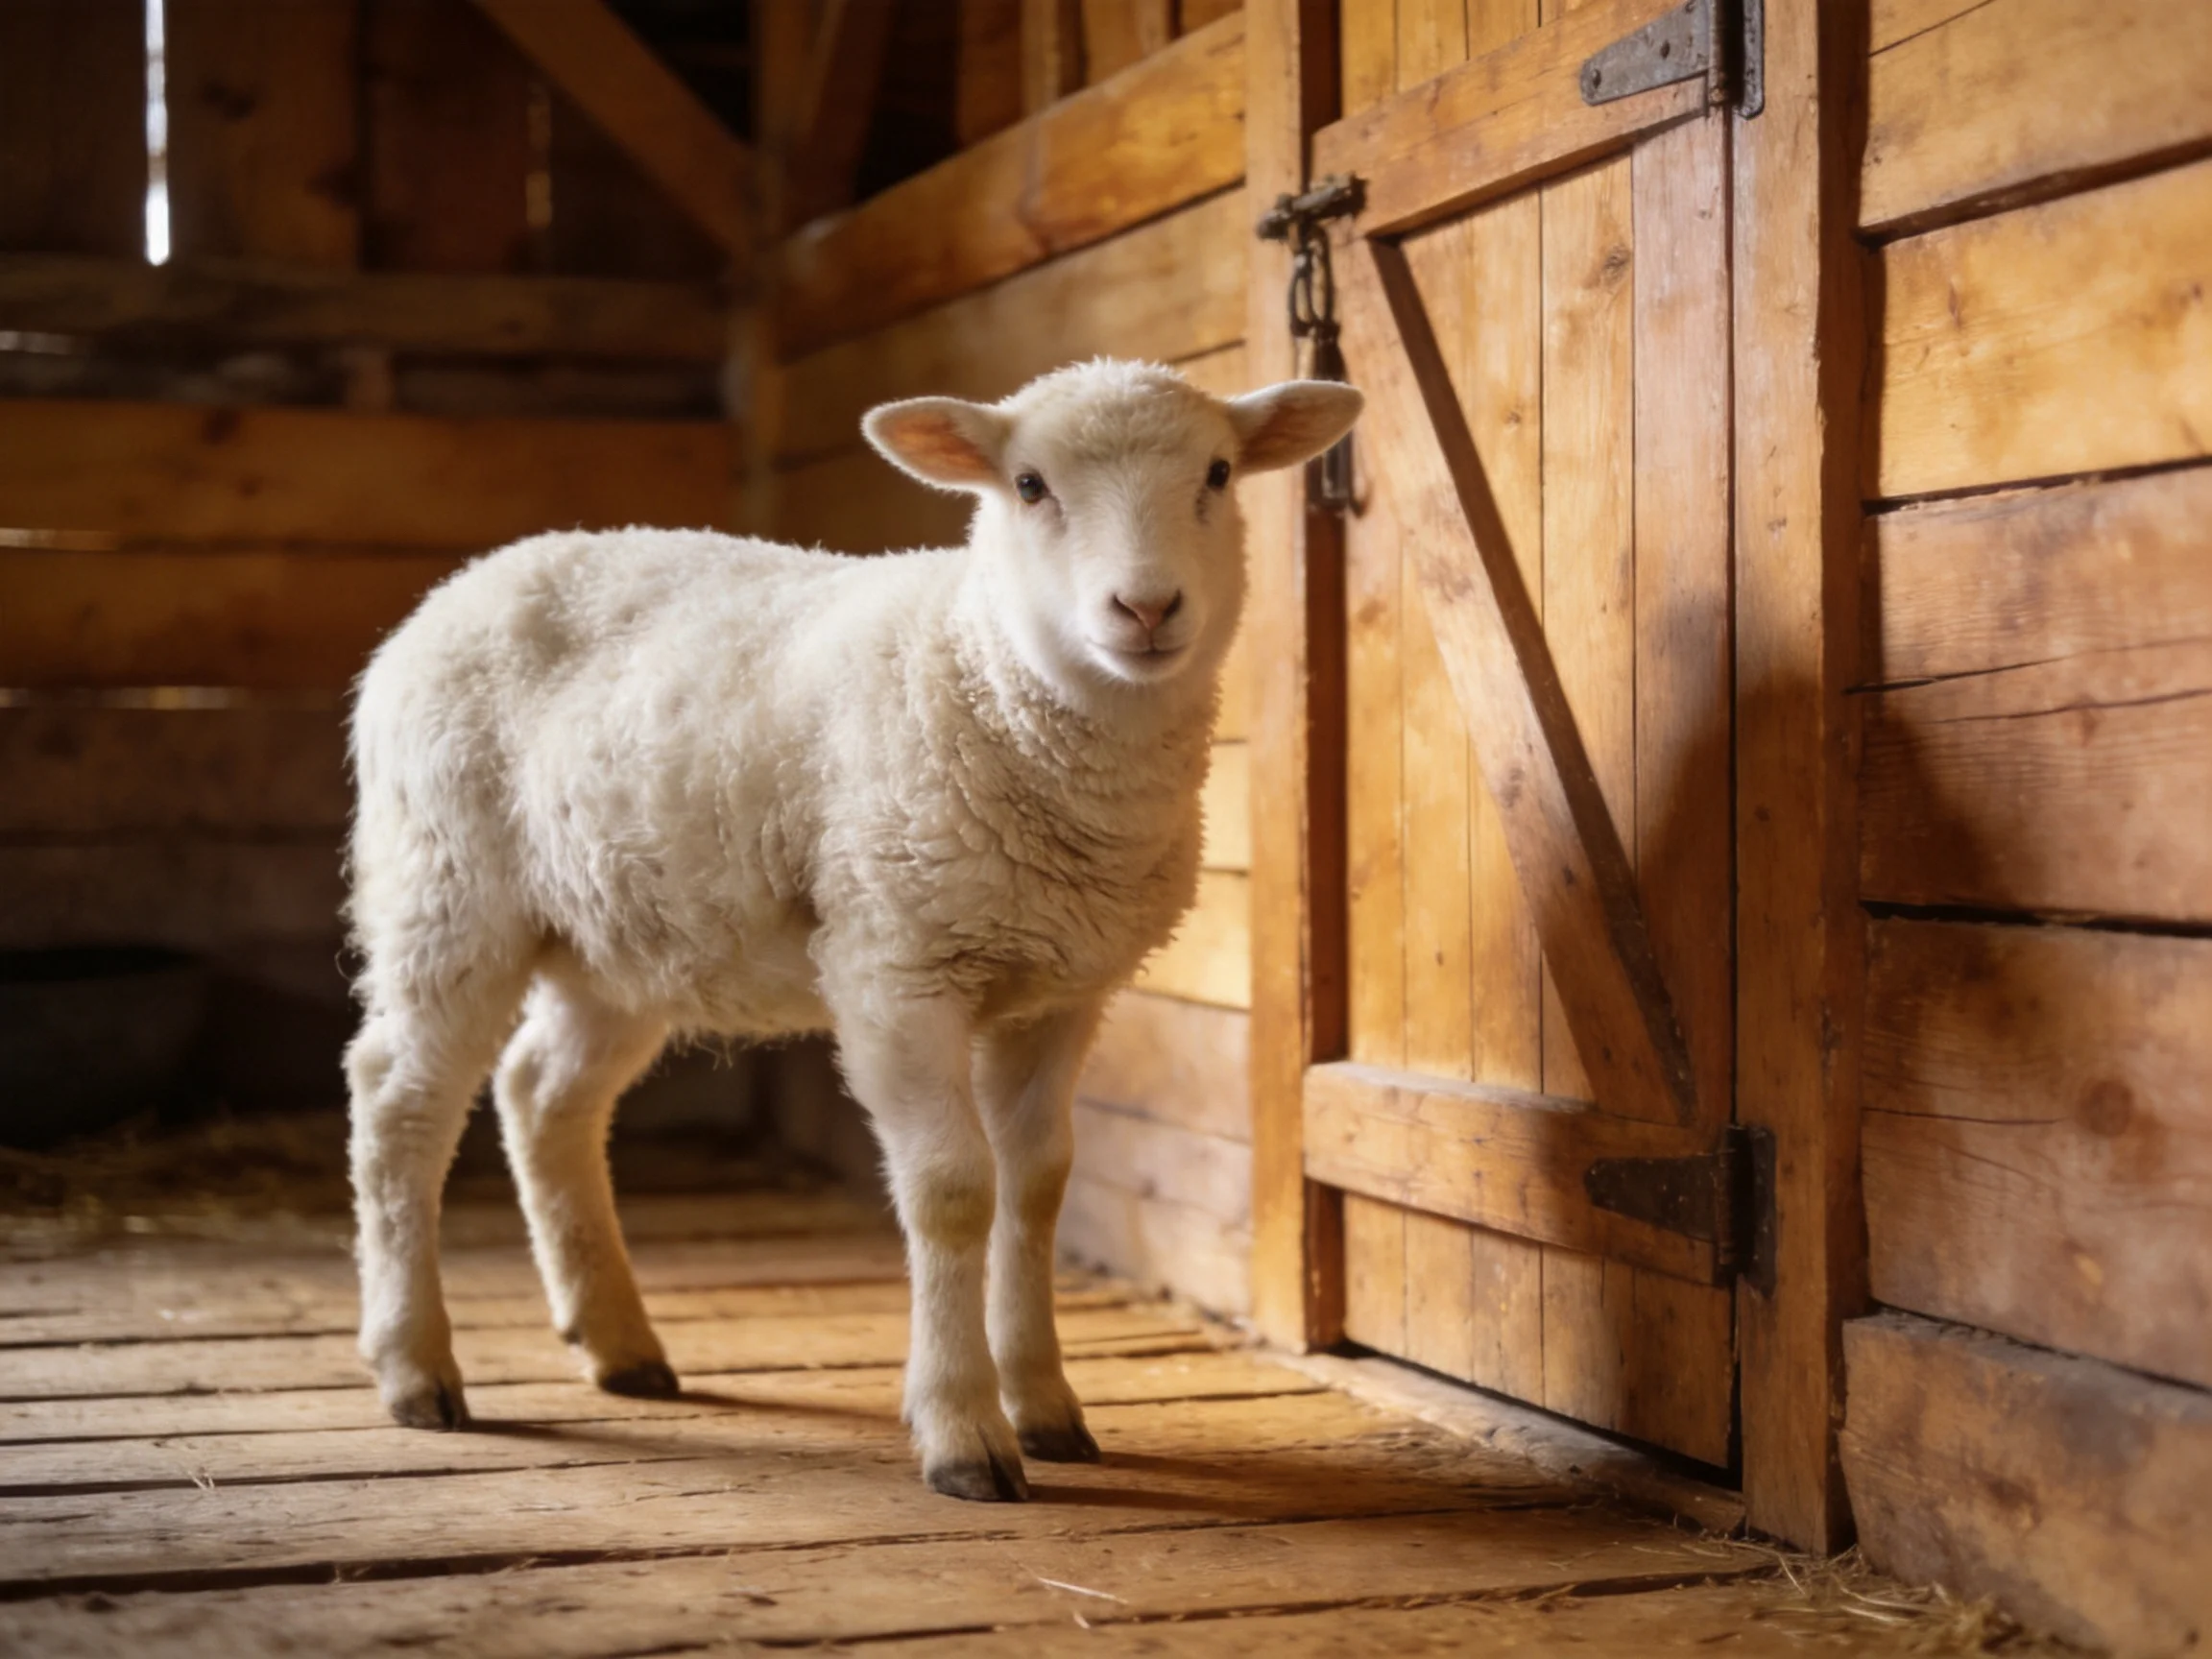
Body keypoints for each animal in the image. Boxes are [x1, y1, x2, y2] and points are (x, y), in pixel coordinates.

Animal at [344, 357, 1363, 1501]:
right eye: (1029, 485)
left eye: (1220, 473)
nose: (1145, 605)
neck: (986, 673)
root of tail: (464, 581)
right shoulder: (896, 966)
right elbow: (955, 1189)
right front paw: (964, 1431)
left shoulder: (1061, 990)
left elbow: (1039, 1185)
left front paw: (1046, 1405)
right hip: (447, 886)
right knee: (399, 1101)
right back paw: (415, 1367)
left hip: (620, 933)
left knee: (541, 1093)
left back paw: (618, 1342)